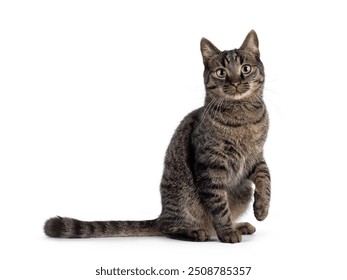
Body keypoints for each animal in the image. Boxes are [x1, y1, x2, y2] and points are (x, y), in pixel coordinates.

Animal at [44, 29, 272, 242]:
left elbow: (265, 178)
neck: (243, 117)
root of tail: (162, 214)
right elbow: (219, 205)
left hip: (243, 192)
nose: (235, 82)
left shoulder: (256, 156)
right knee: (170, 227)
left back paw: (239, 225)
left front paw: (262, 209)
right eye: (221, 72)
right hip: (183, 198)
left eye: (245, 68)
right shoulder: (210, 166)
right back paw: (197, 231)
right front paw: (227, 232)